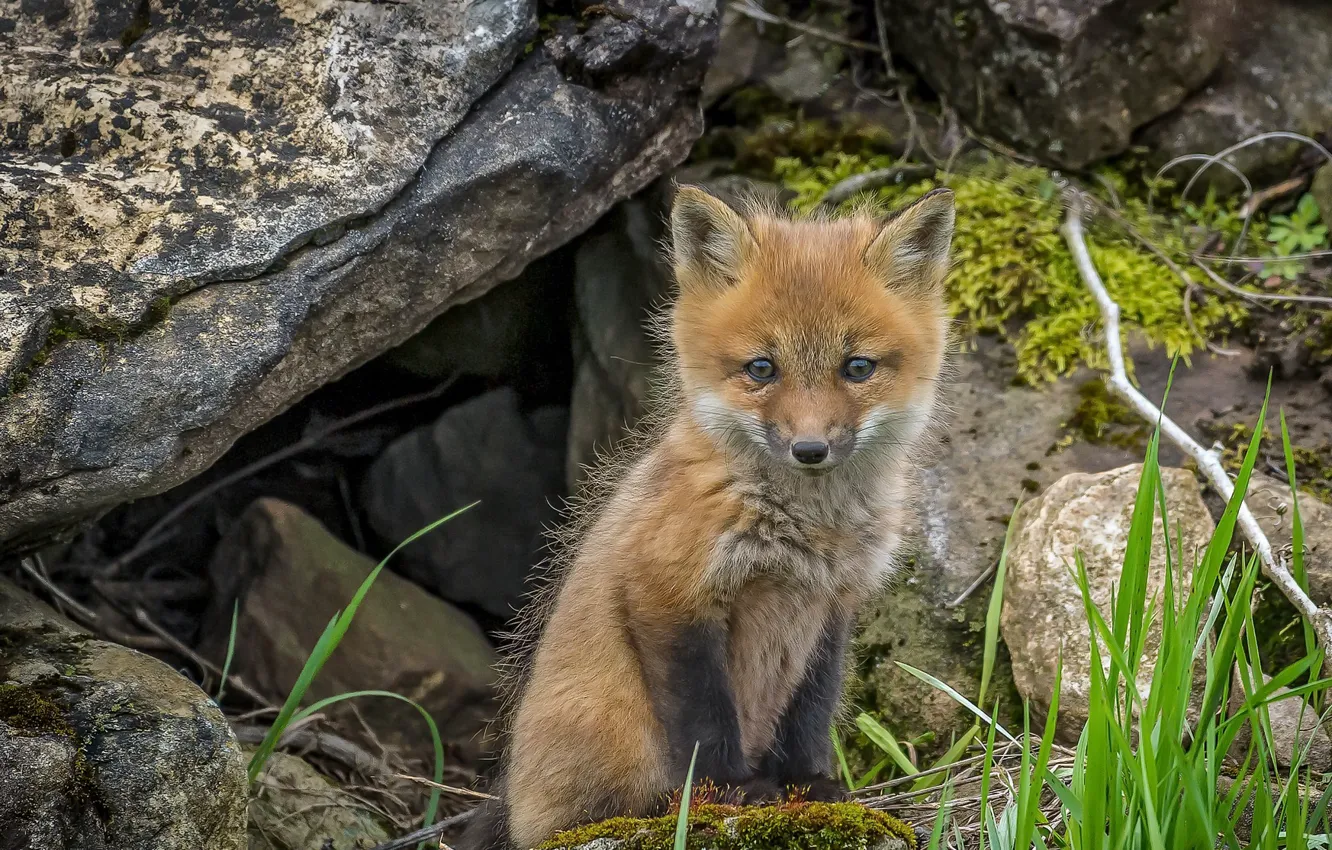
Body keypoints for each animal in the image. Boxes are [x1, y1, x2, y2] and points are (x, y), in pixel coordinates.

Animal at [458, 183, 956, 850]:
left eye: (857, 367)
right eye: (762, 368)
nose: (810, 449)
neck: (806, 535)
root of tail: (512, 798)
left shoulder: (834, 605)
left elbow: (811, 712)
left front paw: (809, 788)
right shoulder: (669, 592)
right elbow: (704, 720)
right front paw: (730, 794)